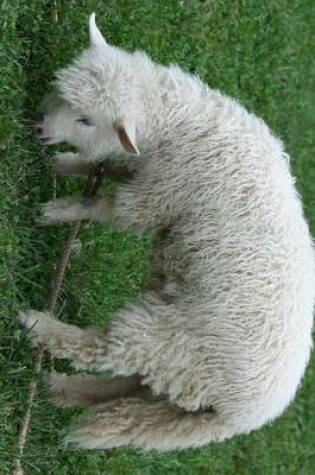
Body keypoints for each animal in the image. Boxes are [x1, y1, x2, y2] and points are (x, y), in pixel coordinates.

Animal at [19, 13, 315, 452]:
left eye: (87, 119)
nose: (39, 126)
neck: (176, 125)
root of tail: (240, 418)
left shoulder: (158, 196)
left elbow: (108, 209)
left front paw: (56, 211)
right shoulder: (144, 170)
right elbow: (104, 168)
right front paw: (64, 165)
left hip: (171, 341)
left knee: (105, 350)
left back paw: (39, 327)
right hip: (179, 376)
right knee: (130, 388)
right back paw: (61, 388)